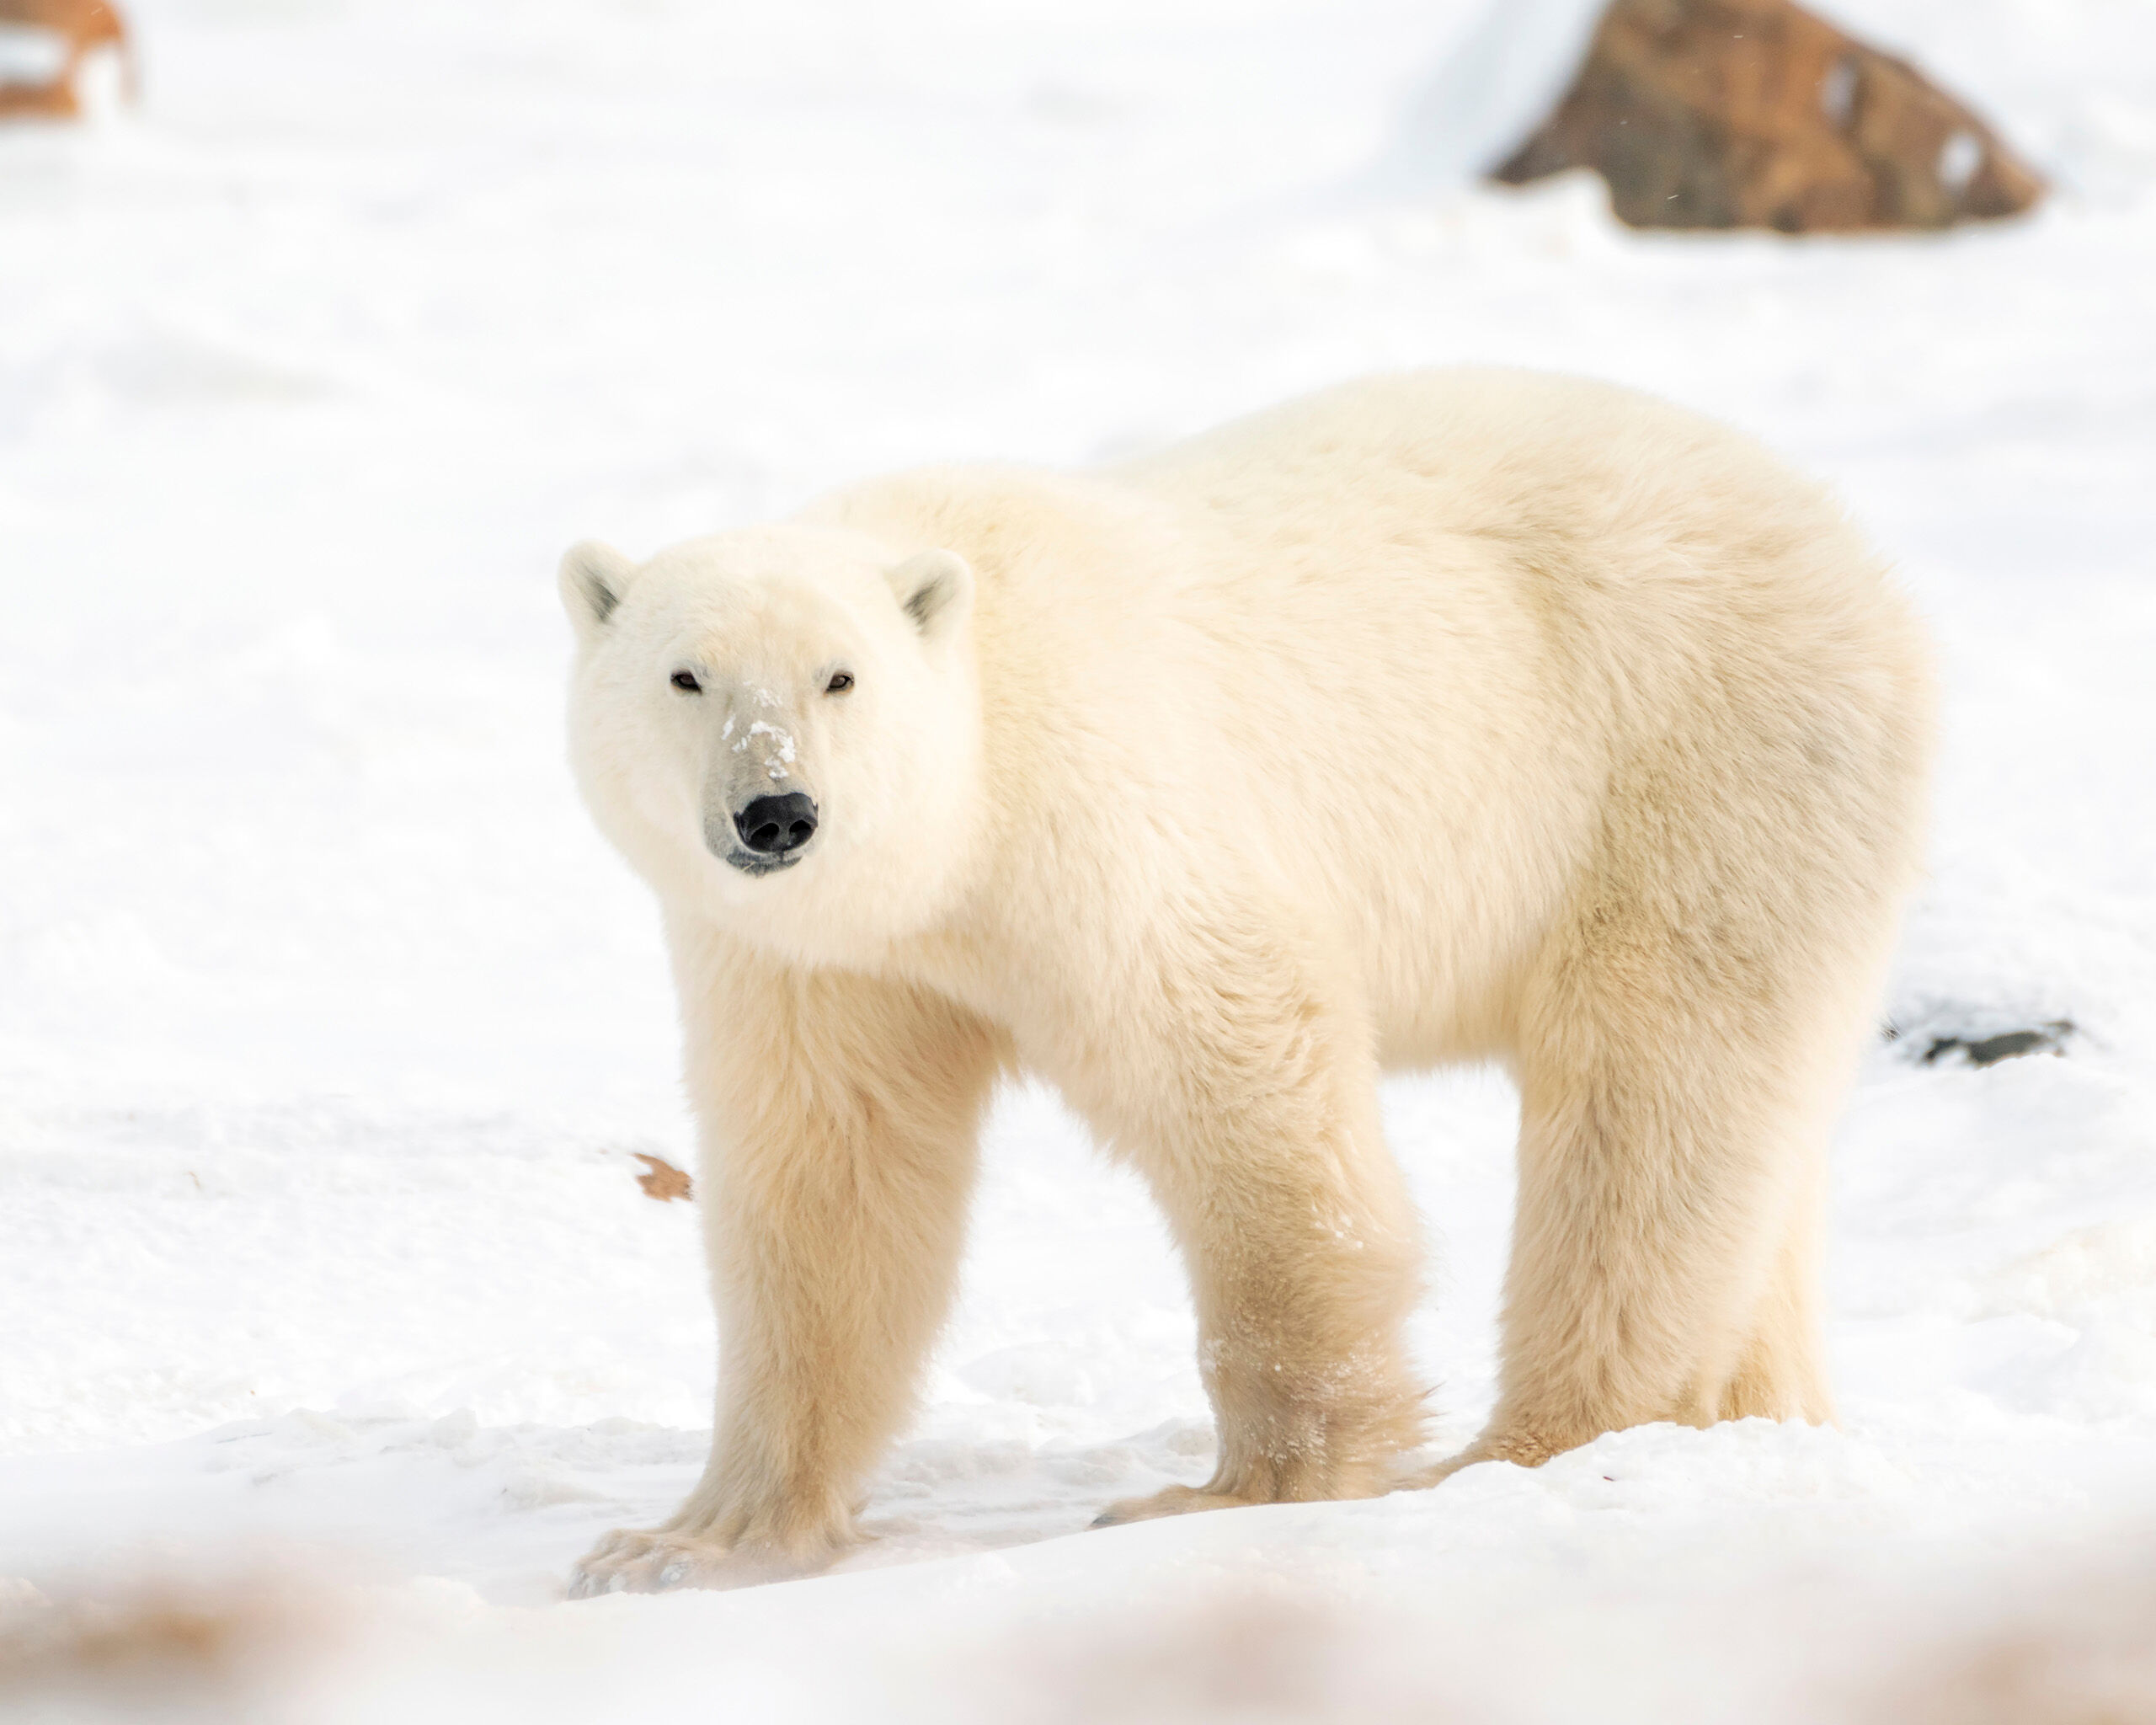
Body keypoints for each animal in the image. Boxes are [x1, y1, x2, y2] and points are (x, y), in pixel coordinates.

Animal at [557, 368, 1934, 1594]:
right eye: (687, 675)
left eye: (840, 675)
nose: (777, 811)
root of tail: (1843, 544)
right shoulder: (814, 960)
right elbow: (829, 1178)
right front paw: (689, 1544)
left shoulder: (1100, 811)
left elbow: (1244, 1076)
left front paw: (1241, 1492)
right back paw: (1756, 1419)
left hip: (1693, 756)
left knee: (1651, 1107)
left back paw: (1526, 1450)